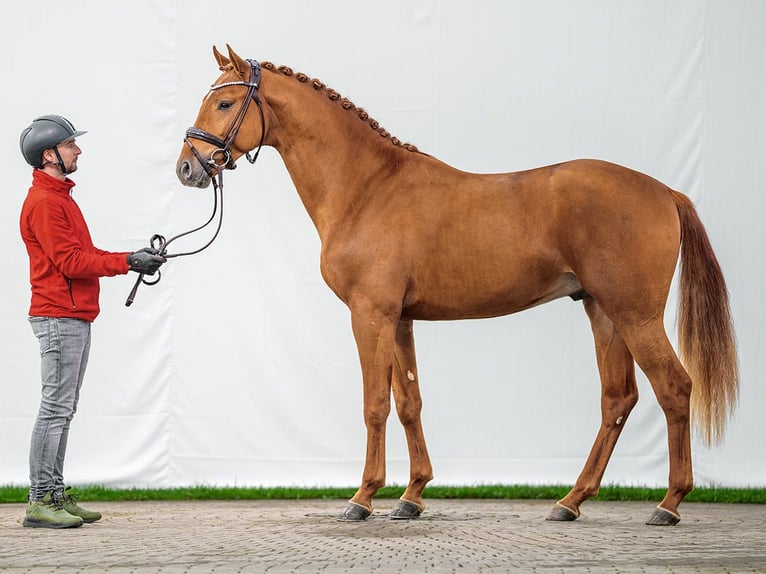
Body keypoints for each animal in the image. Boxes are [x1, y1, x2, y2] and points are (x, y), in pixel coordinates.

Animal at [177, 45, 740, 528]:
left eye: (224, 101)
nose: (187, 167)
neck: (367, 187)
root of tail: (663, 191)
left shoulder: (370, 315)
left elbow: (374, 403)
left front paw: (363, 498)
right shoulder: (400, 319)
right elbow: (409, 402)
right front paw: (411, 496)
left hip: (636, 315)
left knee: (674, 388)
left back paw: (668, 504)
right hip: (602, 311)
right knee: (617, 399)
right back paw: (570, 501)